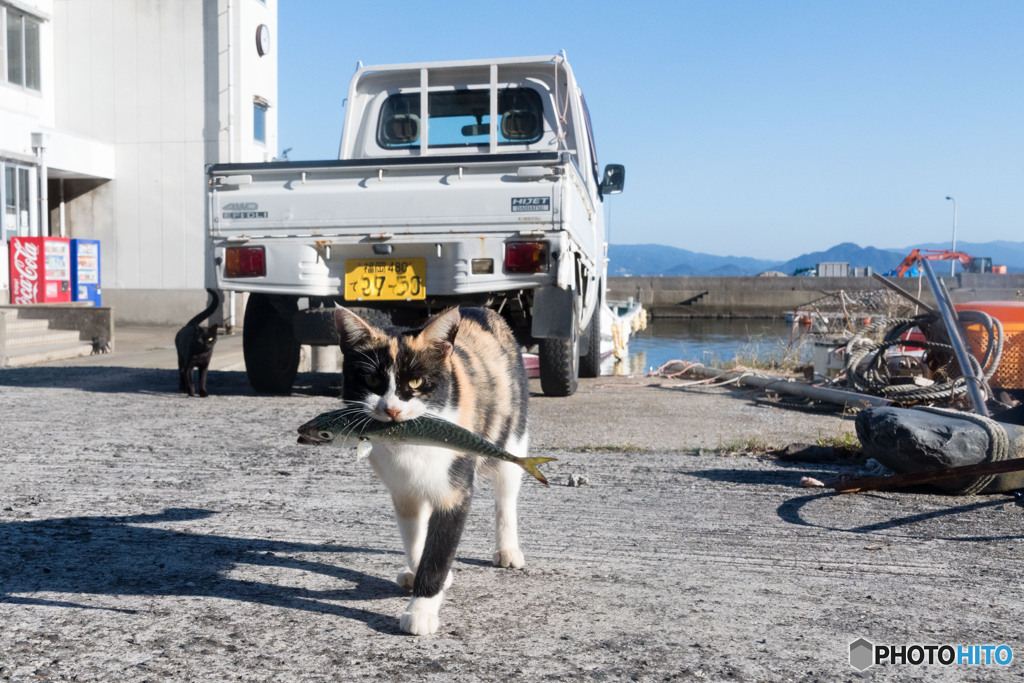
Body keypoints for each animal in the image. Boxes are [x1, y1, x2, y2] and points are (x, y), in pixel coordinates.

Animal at [333, 305, 528, 634]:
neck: (408, 442)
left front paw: (421, 608)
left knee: (506, 494)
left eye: (415, 383)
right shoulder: (403, 490)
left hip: (512, 435)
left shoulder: (455, 491)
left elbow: (438, 552)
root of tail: (482, 308)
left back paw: (507, 549)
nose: (392, 409)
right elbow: (414, 535)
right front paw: (418, 571)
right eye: (371, 379)